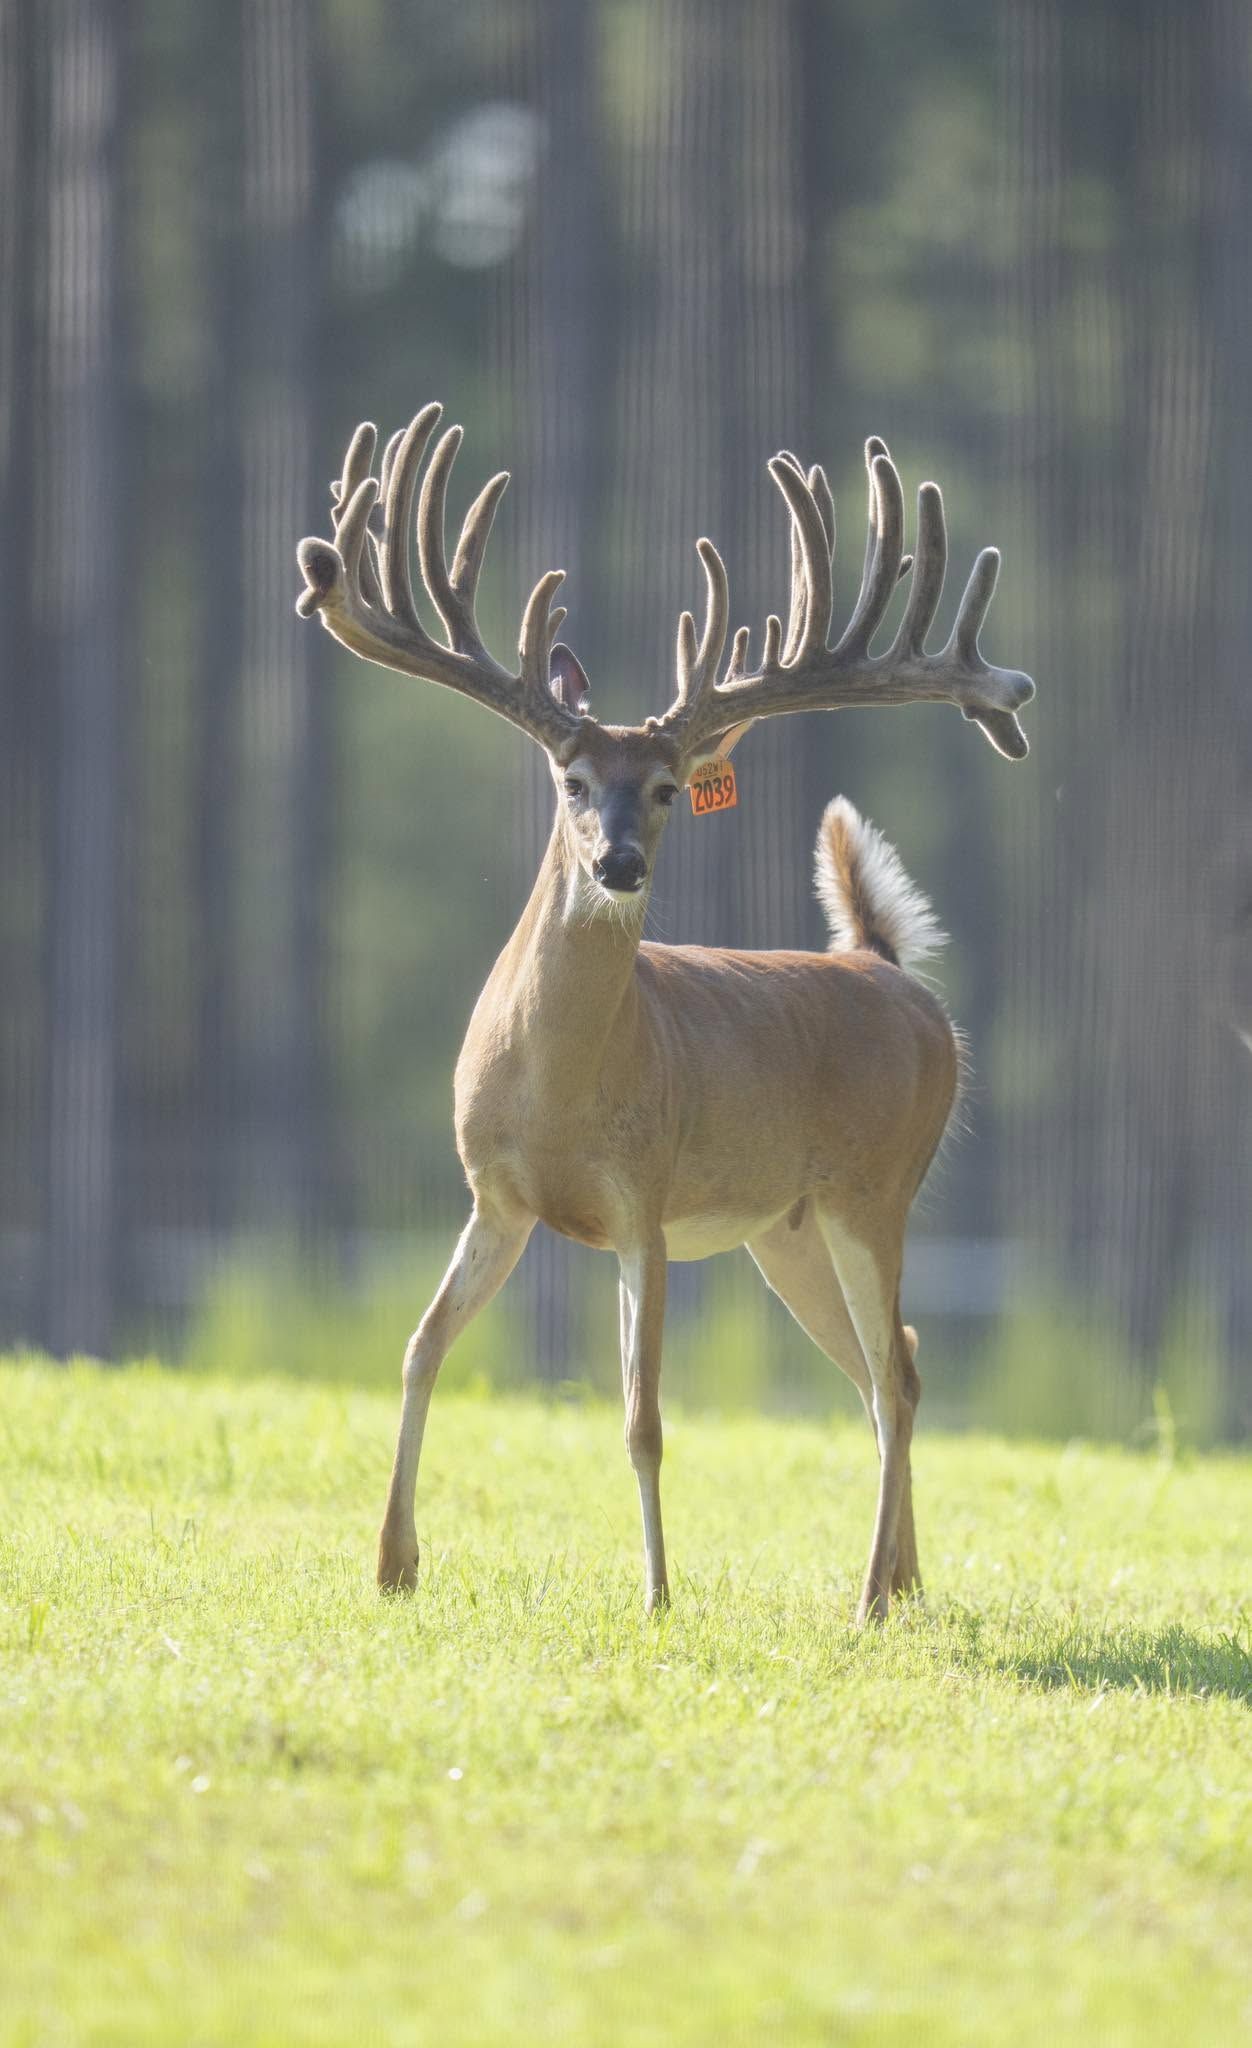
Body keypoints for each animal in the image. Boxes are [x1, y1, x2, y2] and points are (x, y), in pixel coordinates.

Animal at [295, 401, 1033, 1622]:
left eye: (670, 789)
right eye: (570, 781)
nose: (620, 863)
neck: (558, 1087)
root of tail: (886, 967)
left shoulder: (642, 1200)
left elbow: (641, 1416)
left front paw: (654, 1591)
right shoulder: (496, 1194)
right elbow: (419, 1345)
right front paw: (393, 1563)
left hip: (875, 1189)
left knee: (894, 1373)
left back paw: (869, 1596)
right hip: (785, 1229)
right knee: (897, 1366)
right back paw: (906, 1578)